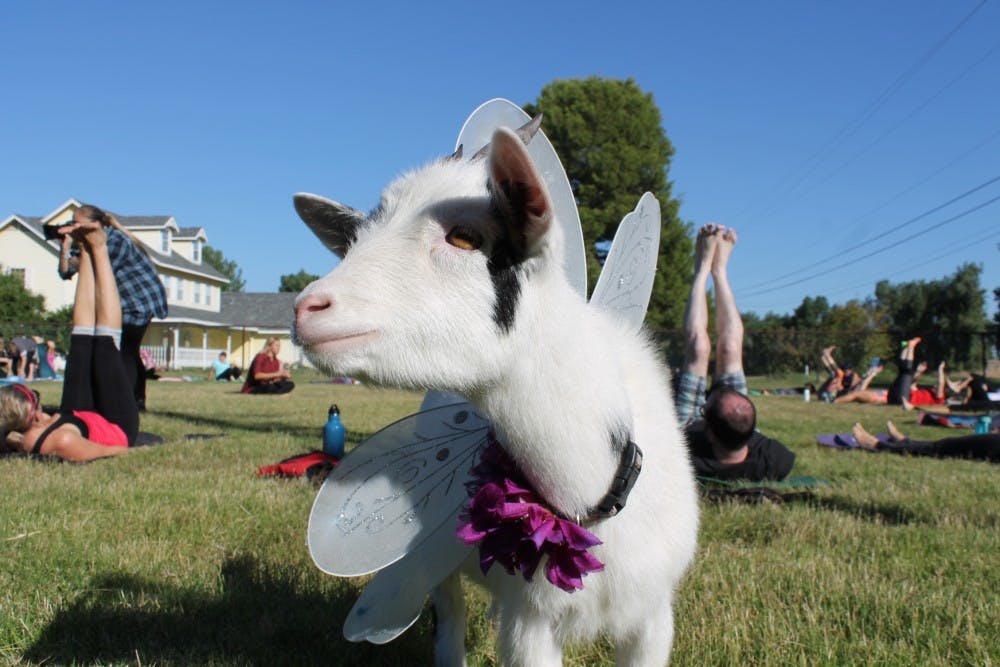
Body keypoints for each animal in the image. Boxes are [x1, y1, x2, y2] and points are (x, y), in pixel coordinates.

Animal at [293, 126, 699, 666]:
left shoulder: (654, 615)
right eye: (356, 238)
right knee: (450, 619)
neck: (594, 500)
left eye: (465, 237)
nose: (306, 308)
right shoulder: (531, 620)